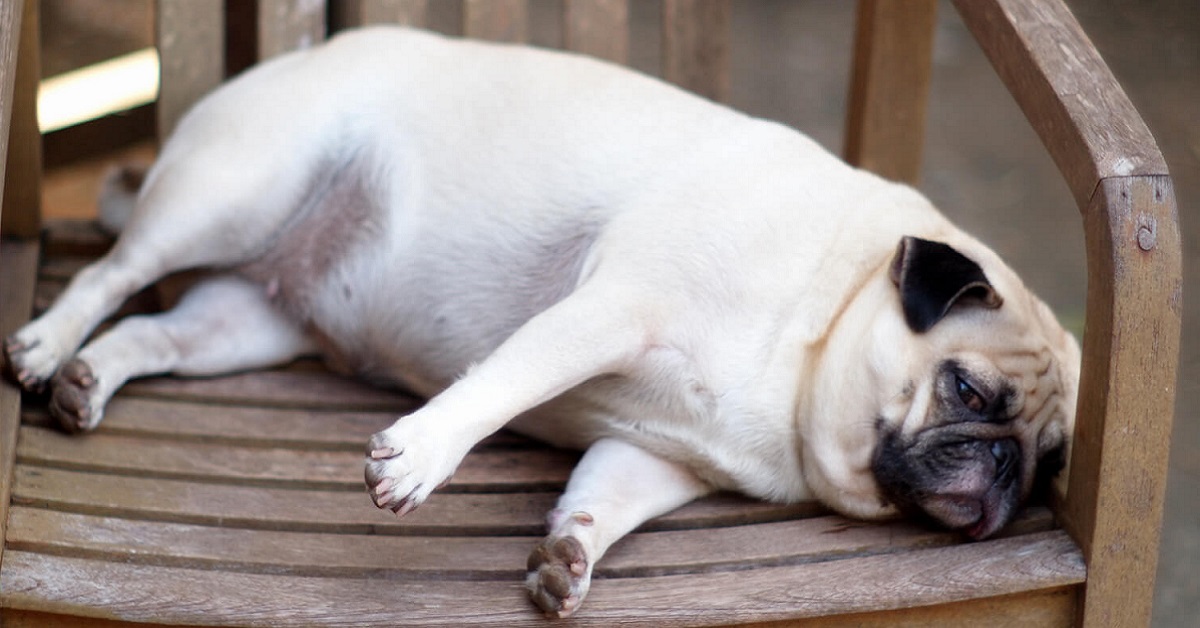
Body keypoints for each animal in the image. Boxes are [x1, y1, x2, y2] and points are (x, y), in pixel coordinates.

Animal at [4, 27, 1084, 614]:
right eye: (968, 390)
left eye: (1053, 465)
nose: (1005, 470)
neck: (821, 317)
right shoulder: (612, 308)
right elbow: (499, 385)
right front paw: (420, 459)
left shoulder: (662, 459)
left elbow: (608, 497)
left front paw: (571, 557)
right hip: (230, 193)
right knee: (110, 273)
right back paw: (49, 345)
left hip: (251, 322)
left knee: (158, 331)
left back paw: (89, 381)